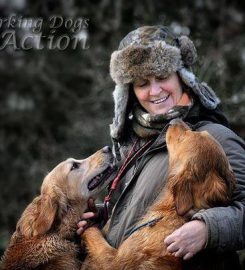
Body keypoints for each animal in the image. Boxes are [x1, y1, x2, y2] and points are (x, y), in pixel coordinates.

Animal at [81, 119, 235, 270]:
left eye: (184, 137)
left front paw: (87, 224)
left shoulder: (114, 260)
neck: (174, 211)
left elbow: (93, 233)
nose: (174, 120)